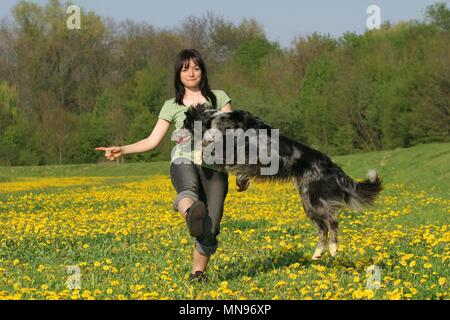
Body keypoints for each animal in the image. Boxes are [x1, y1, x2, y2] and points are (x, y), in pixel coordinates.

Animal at [181, 105, 382, 260]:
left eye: (183, 124)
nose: (176, 133)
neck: (213, 119)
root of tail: (330, 164)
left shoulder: (232, 147)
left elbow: (209, 148)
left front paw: (199, 154)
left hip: (315, 199)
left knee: (332, 222)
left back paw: (333, 249)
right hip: (308, 201)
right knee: (323, 226)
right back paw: (317, 253)